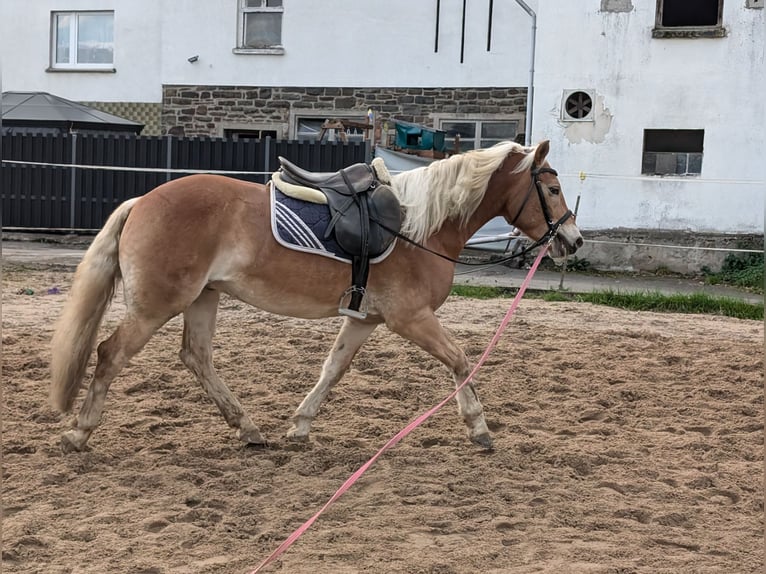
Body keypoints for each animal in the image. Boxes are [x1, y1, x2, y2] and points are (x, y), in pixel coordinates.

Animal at [51, 141, 584, 454]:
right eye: (554, 188)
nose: (574, 240)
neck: (418, 225)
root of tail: (142, 201)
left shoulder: (365, 319)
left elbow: (333, 368)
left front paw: (300, 425)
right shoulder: (411, 318)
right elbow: (460, 359)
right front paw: (477, 426)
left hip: (203, 298)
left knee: (196, 357)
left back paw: (249, 429)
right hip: (157, 304)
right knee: (111, 353)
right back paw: (79, 432)